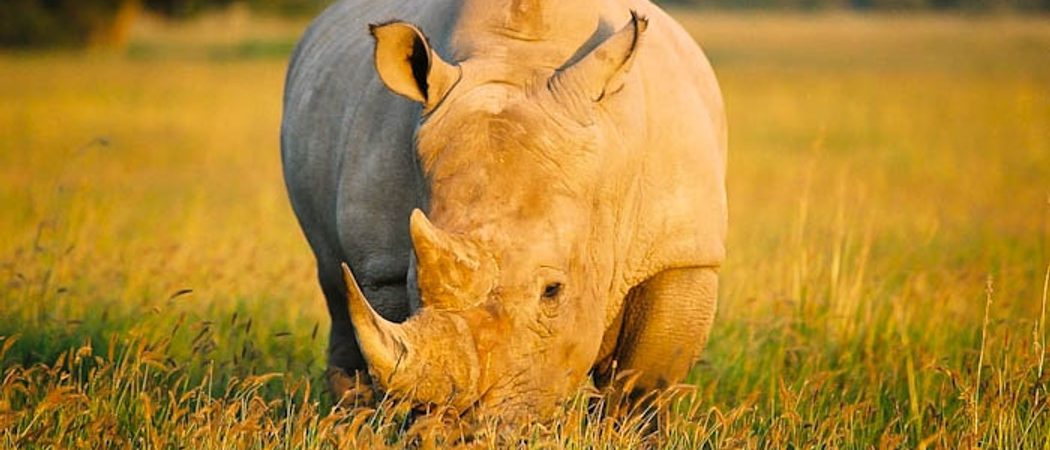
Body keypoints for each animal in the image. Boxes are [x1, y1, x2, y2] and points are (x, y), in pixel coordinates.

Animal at [280, 0, 726, 421]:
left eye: (553, 291)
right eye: (414, 279)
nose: (458, 427)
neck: (517, 58)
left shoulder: (682, 254)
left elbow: (641, 384)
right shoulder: (382, 267)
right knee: (336, 286)